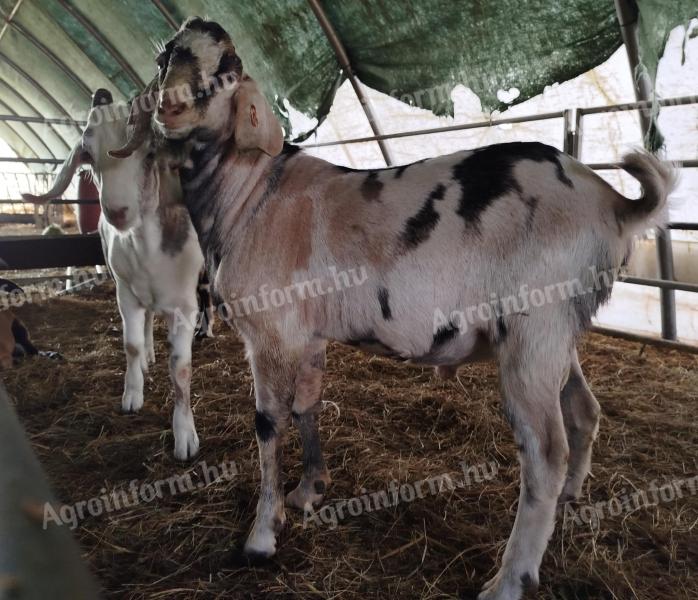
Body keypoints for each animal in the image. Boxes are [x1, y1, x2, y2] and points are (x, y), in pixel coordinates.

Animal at [23, 91, 212, 462]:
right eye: (88, 155)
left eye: (150, 152)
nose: (116, 212)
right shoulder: (125, 292)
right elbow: (131, 345)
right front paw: (132, 395)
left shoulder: (184, 306)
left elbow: (180, 368)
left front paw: (185, 438)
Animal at [113, 18, 676, 600]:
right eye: (164, 60)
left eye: (227, 67)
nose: (171, 105)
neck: (249, 192)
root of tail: (614, 204)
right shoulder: (307, 335)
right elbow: (307, 406)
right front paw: (310, 490)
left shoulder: (271, 333)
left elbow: (269, 425)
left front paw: (262, 535)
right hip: (559, 331)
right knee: (584, 409)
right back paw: (570, 497)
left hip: (533, 332)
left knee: (544, 454)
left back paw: (509, 579)